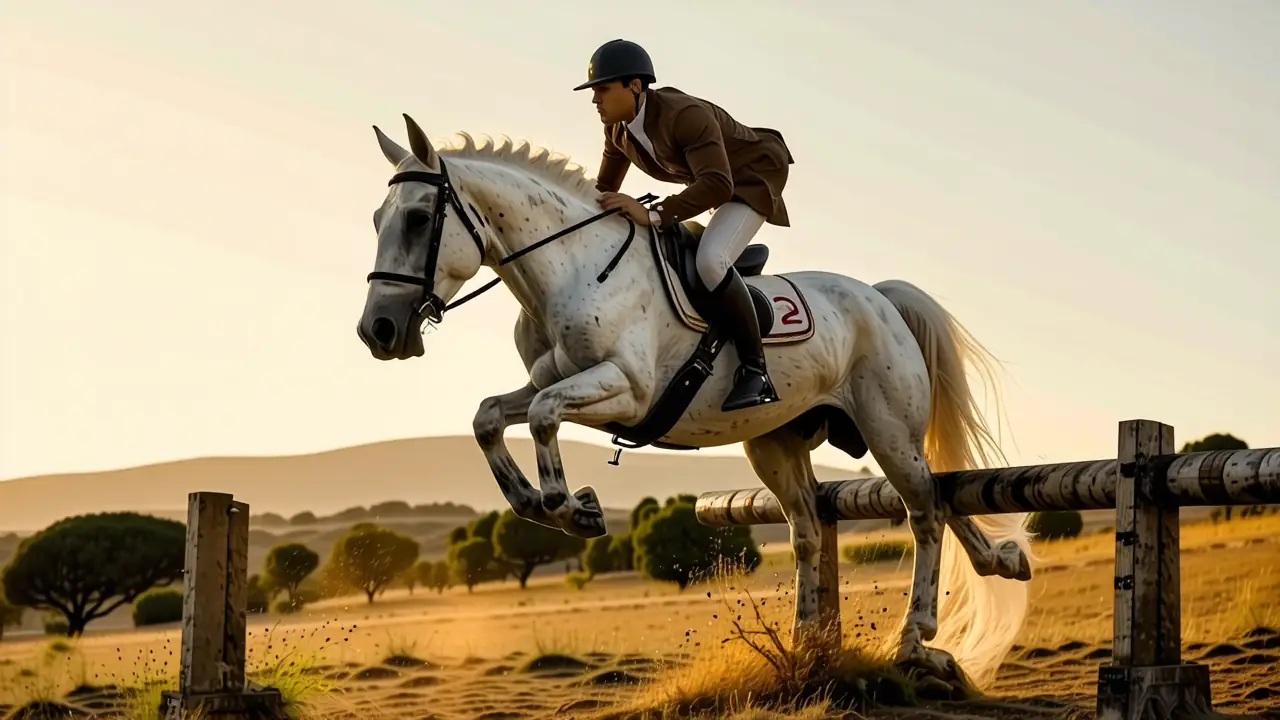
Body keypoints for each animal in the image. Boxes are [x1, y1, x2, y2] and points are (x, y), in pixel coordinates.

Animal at [356, 114, 1034, 689]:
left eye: (418, 220)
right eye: (377, 220)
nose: (378, 332)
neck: (568, 269)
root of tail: (880, 296)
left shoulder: (626, 389)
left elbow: (546, 415)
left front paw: (574, 509)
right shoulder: (548, 381)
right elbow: (490, 415)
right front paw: (538, 503)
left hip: (886, 426)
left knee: (926, 508)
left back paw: (917, 635)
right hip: (777, 442)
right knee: (823, 527)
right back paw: (822, 635)